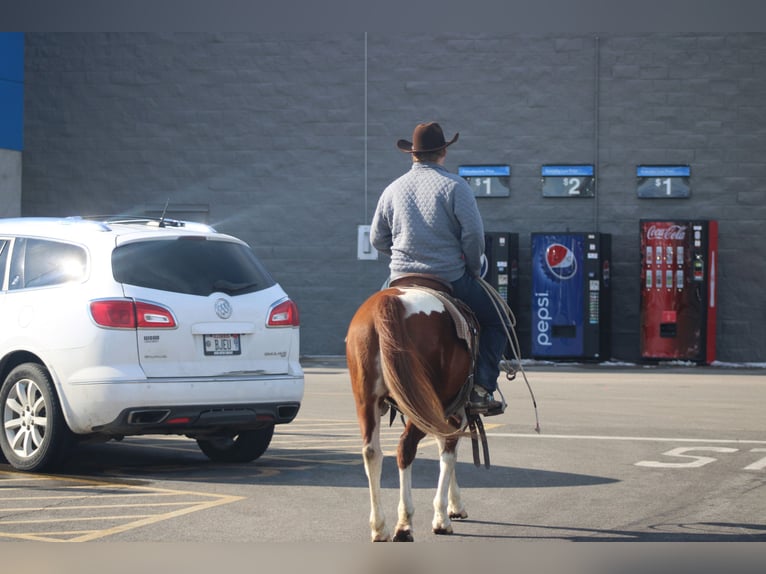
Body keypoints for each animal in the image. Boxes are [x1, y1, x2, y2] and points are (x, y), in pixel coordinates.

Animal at [348, 282, 480, 548]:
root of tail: (387, 302)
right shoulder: (453, 410)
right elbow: (448, 454)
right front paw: (442, 516)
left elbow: (446, 450)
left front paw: (454, 505)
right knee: (406, 447)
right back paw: (404, 524)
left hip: (367, 399)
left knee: (372, 452)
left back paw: (380, 527)